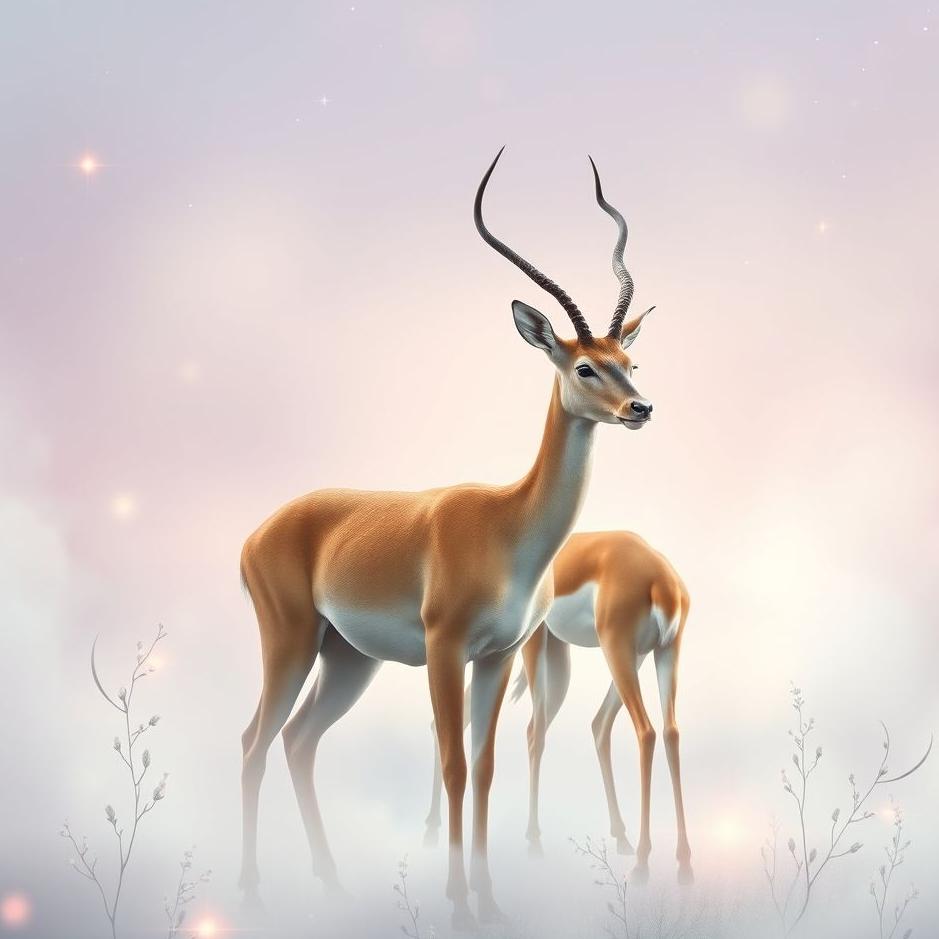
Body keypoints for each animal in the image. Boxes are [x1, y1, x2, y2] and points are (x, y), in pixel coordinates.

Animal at [238, 148, 660, 929]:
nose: (640, 408)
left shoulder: (495, 655)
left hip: (347, 659)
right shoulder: (443, 649)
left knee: (299, 741)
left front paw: (489, 901)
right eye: (583, 364)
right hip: (290, 640)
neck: (510, 525)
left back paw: (332, 885)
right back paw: (251, 892)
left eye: (631, 361)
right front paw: (460, 904)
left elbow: (485, 765)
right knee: (255, 739)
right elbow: (454, 764)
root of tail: (261, 529)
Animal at [425, 530, 694, 886]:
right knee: (640, 730)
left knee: (645, 730)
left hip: (633, 654)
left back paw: (650, 856)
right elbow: (535, 734)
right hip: (629, 653)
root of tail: (661, 582)